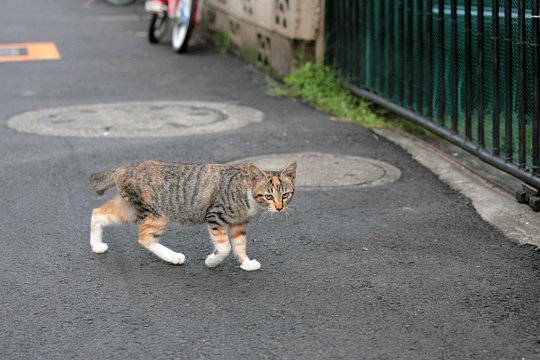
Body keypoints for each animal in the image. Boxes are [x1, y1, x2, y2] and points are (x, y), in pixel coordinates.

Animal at [90, 160, 298, 270]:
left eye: (285, 195)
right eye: (269, 196)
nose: (279, 208)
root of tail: (125, 167)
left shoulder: (239, 224)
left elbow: (240, 245)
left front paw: (246, 263)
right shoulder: (215, 215)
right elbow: (224, 248)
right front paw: (212, 261)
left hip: (129, 209)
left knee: (97, 213)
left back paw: (97, 245)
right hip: (156, 213)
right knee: (145, 238)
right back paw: (173, 257)